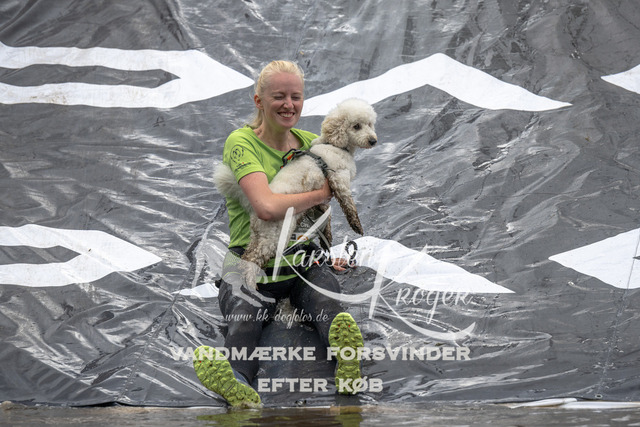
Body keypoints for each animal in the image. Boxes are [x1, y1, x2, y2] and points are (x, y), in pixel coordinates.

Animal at [214, 98, 377, 289]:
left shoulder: (319, 202)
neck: (335, 145)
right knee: (252, 259)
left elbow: (326, 219)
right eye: (356, 126)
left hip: (261, 235)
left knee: (248, 255)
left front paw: (327, 240)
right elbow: (348, 205)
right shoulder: (338, 179)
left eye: (369, 124)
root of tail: (253, 212)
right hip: (276, 235)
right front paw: (356, 226)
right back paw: (250, 285)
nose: (373, 140)